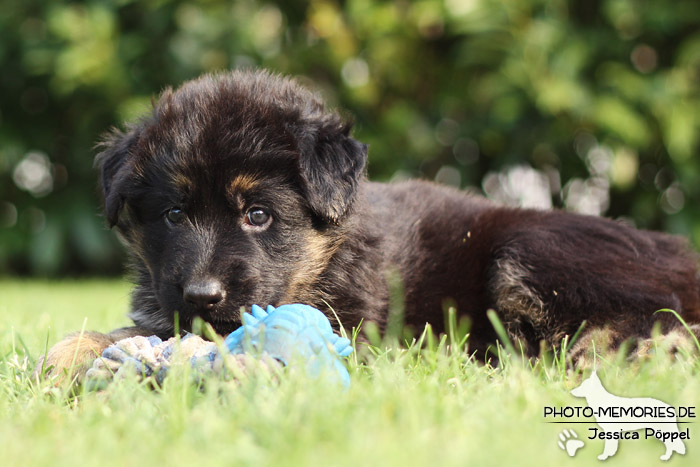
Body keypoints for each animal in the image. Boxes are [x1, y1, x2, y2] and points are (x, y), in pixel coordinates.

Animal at [37, 69, 700, 380]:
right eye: (174, 214)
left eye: (258, 215)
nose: (201, 294)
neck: (329, 253)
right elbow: (131, 329)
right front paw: (68, 354)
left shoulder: (352, 326)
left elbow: (200, 341)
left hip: (531, 245)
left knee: (659, 324)